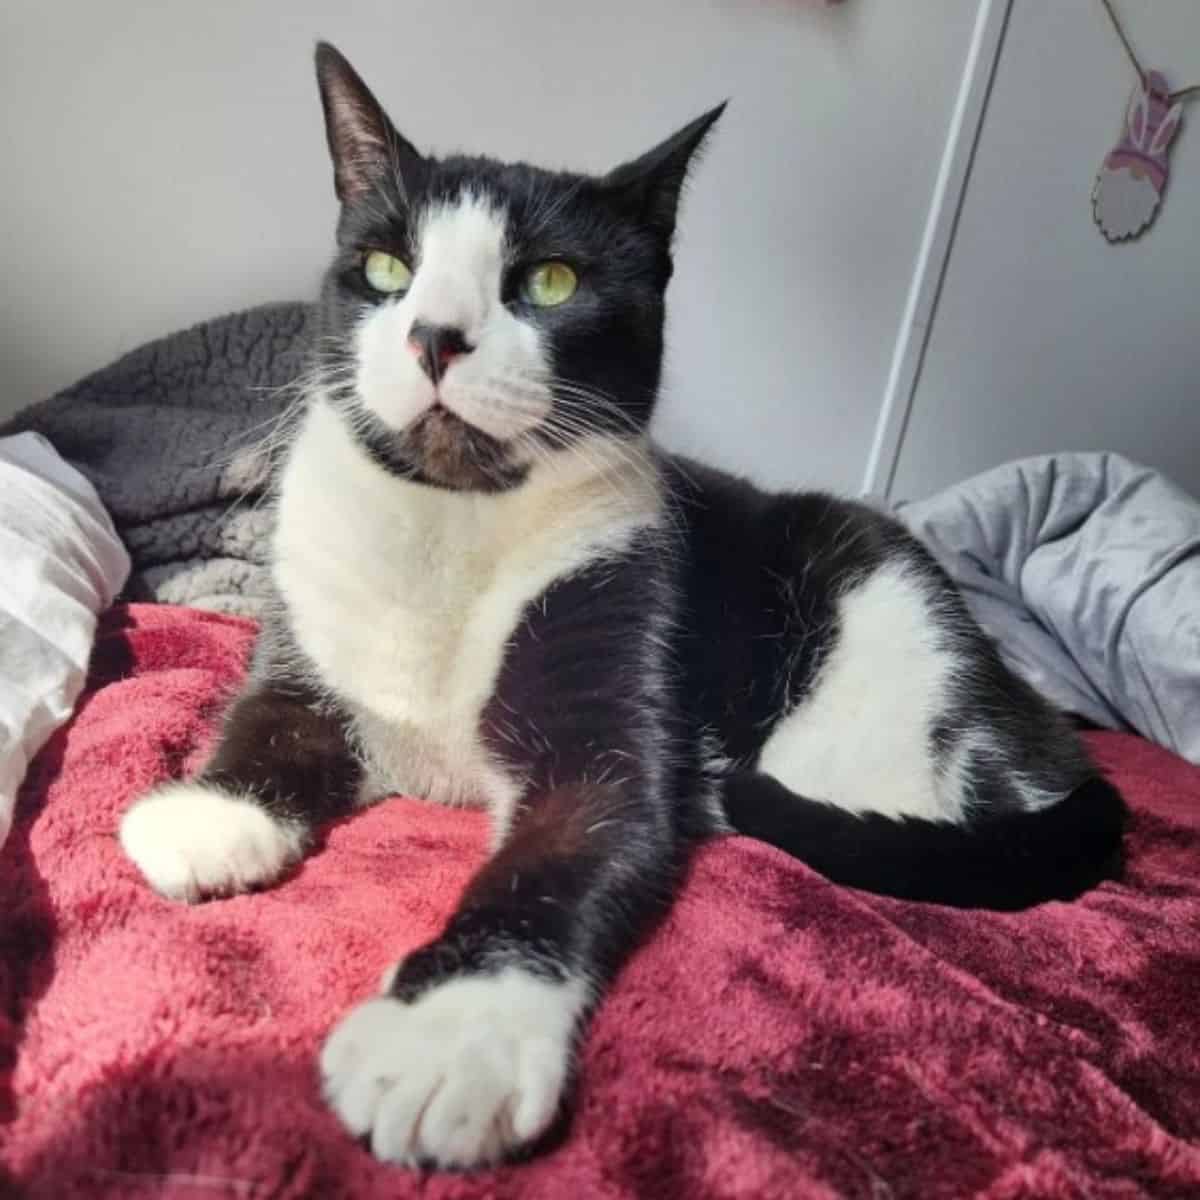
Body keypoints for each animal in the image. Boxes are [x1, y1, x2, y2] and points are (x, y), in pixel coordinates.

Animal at [117, 42, 1128, 1166]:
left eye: (550, 281)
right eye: (385, 269)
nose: (436, 337)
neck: (448, 525)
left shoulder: (619, 631)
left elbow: (567, 848)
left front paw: (449, 1039)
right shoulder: (308, 621)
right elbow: (273, 716)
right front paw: (210, 813)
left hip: (888, 651)